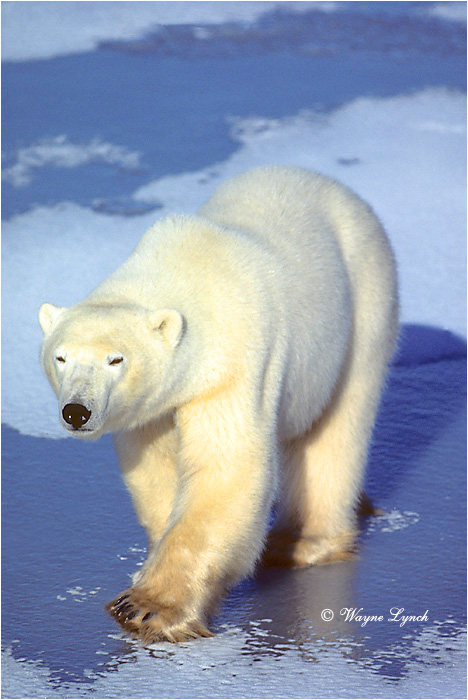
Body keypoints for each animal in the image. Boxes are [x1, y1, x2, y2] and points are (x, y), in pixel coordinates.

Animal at [39, 166, 398, 643]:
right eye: (60, 357)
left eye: (116, 359)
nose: (77, 411)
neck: (186, 272)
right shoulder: (154, 407)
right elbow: (157, 470)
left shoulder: (233, 364)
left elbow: (227, 469)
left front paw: (146, 607)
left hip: (363, 301)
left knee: (337, 427)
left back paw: (303, 542)